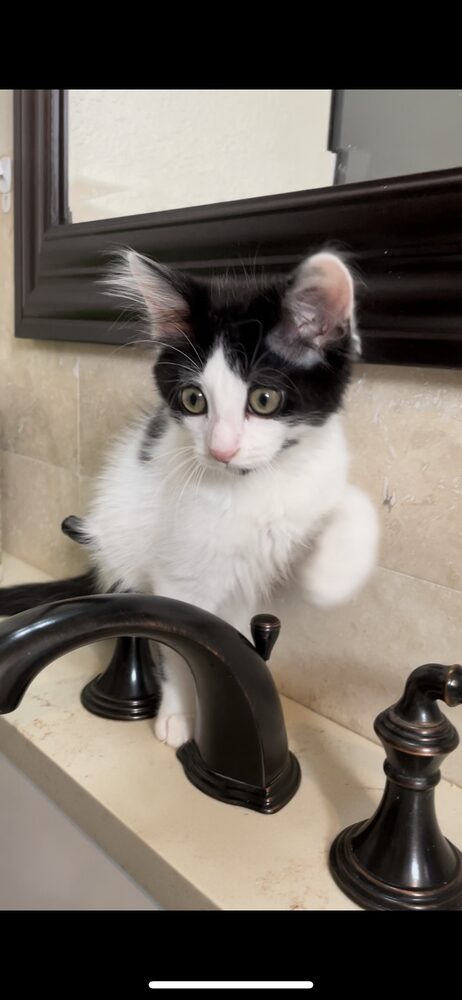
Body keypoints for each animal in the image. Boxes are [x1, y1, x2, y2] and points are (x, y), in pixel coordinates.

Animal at [0, 249, 379, 747]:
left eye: (264, 399)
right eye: (194, 400)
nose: (221, 450)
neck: (252, 483)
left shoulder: (317, 471)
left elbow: (351, 501)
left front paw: (334, 576)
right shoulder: (179, 574)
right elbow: (182, 641)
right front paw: (179, 715)